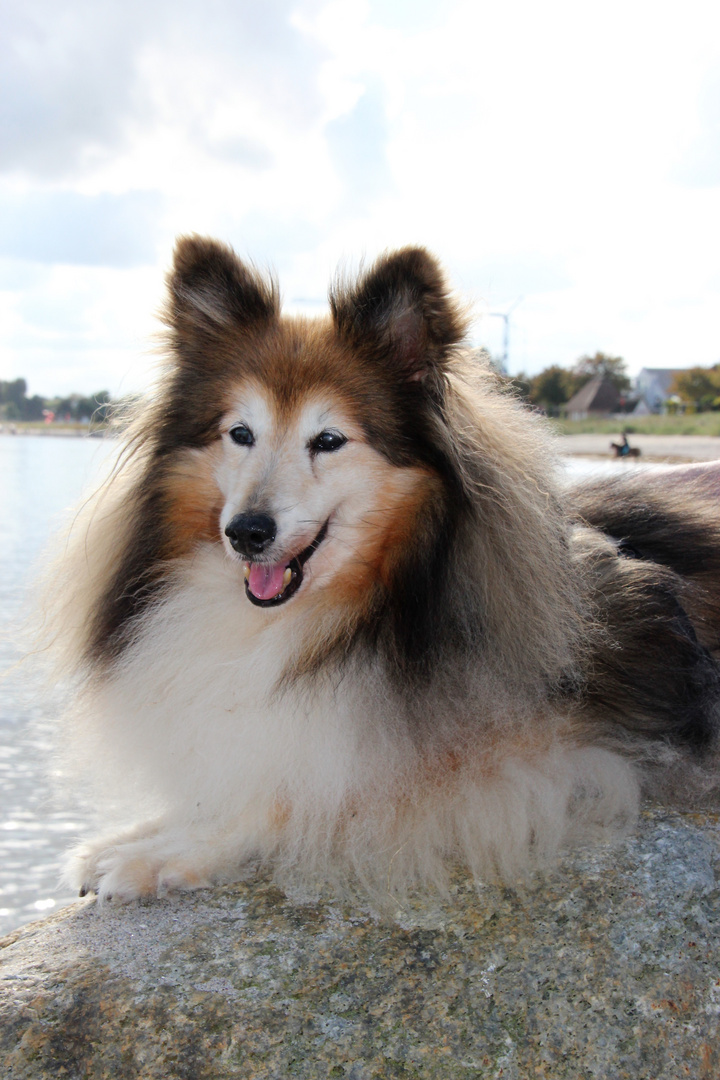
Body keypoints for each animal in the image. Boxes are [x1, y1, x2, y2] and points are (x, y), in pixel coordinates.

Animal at [43, 238, 720, 902]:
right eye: (240, 432)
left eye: (329, 440)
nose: (246, 533)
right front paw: (134, 834)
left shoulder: (555, 759)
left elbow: (296, 796)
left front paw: (161, 854)